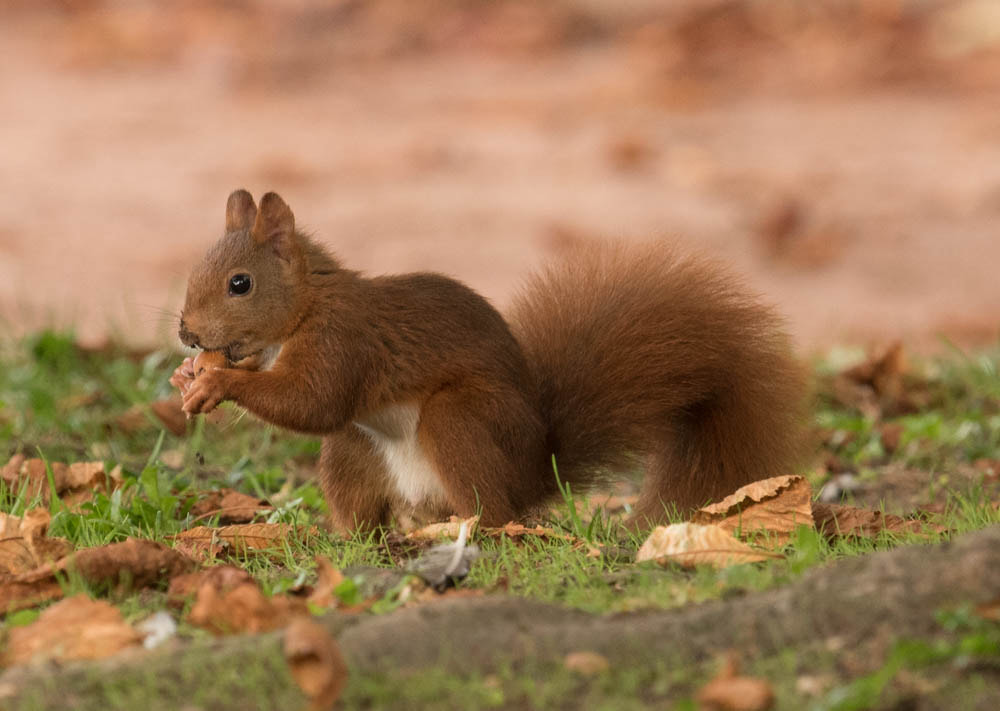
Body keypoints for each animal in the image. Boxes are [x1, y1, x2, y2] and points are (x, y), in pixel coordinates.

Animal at [171, 189, 807, 531]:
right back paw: (357, 540)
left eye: (239, 283)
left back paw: (470, 524)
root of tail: (532, 476)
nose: (185, 333)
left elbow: (313, 401)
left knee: (495, 511)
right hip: (353, 451)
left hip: (460, 420)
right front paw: (190, 375)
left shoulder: (343, 340)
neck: (306, 305)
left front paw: (218, 383)